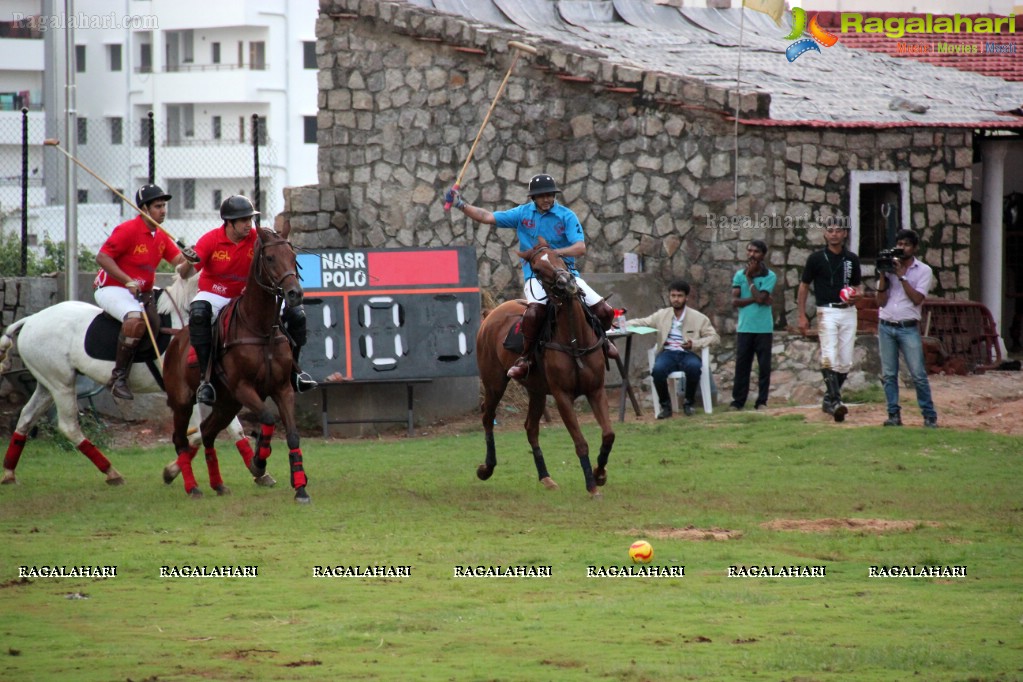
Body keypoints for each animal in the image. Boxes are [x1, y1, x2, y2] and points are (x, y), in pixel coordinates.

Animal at [0, 271, 255, 484]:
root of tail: (30, 320)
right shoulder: (185, 393)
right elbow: (198, 433)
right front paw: (171, 471)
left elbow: (233, 429)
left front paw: (257, 469)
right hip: (61, 384)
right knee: (68, 425)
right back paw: (111, 472)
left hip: (47, 383)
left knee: (26, 417)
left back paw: (9, 472)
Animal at [159, 228, 308, 501]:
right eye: (269, 257)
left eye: (293, 257)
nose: (295, 294)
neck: (261, 329)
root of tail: (177, 339)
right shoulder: (243, 387)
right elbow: (268, 418)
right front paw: (259, 463)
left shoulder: (282, 388)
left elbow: (293, 435)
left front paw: (300, 486)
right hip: (183, 400)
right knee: (180, 439)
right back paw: (191, 486)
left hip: (227, 404)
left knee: (206, 432)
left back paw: (217, 483)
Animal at [472, 239, 609, 496]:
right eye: (536, 269)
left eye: (559, 257)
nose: (567, 283)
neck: (575, 340)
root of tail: (492, 312)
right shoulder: (562, 395)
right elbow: (580, 443)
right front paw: (591, 485)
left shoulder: (596, 390)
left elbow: (608, 434)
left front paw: (600, 473)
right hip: (494, 382)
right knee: (488, 416)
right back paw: (486, 468)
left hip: (535, 390)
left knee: (530, 427)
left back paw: (545, 477)